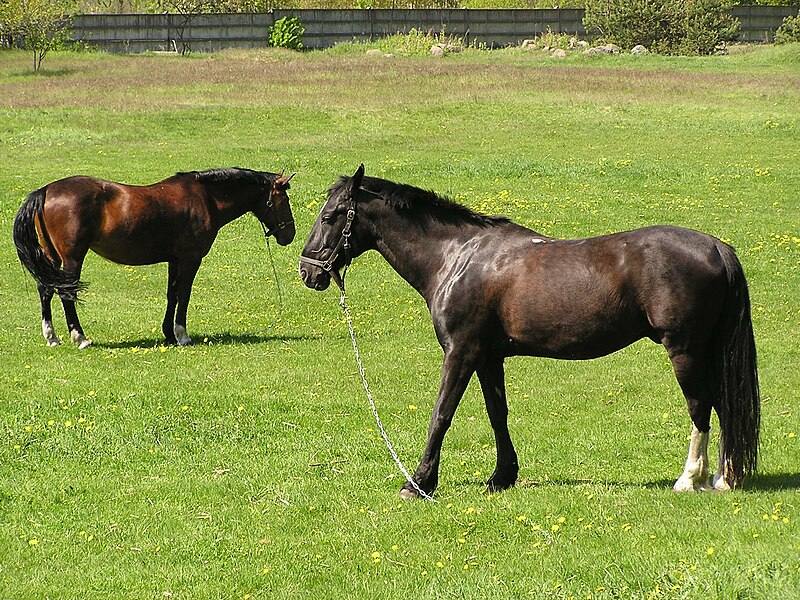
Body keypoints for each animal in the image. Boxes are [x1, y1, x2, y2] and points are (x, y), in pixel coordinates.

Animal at [13, 168, 296, 346]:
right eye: (284, 199)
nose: (290, 234)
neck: (206, 197)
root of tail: (46, 190)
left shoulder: (174, 260)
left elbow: (172, 295)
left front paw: (168, 334)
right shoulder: (190, 259)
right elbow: (184, 295)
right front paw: (182, 335)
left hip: (51, 257)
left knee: (46, 289)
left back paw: (51, 336)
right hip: (72, 258)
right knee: (65, 293)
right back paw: (80, 337)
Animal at [296, 164, 760, 496]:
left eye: (330, 215)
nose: (307, 271)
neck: (457, 257)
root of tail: (716, 246)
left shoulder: (461, 352)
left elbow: (442, 414)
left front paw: (419, 483)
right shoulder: (489, 357)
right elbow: (496, 414)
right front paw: (502, 476)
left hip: (684, 350)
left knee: (702, 406)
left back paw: (690, 479)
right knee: (724, 405)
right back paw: (724, 477)